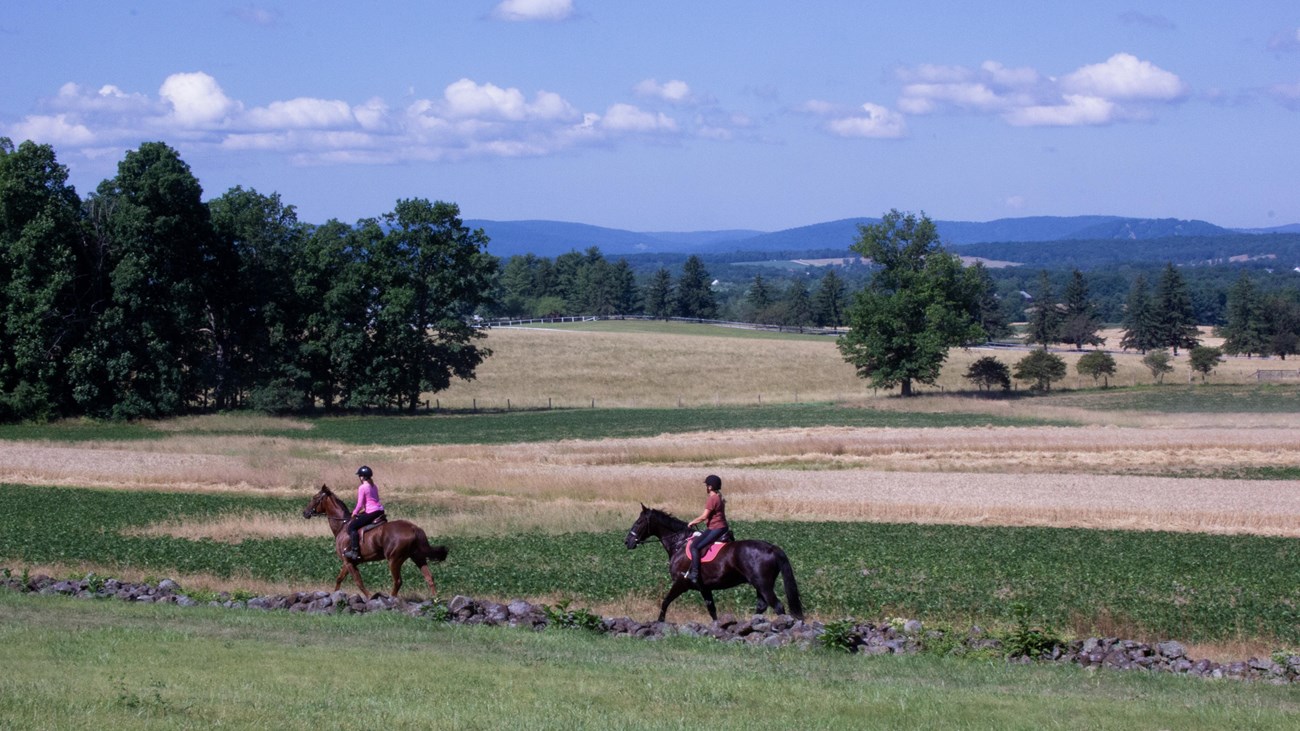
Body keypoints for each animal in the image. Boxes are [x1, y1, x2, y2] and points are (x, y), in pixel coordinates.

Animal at [301, 483, 449, 598]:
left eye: (315, 498)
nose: (305, 513)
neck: (343, 525)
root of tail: (413, 528)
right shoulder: (348, 562)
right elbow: (339, 579)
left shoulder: (348, 562)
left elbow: (358, 582)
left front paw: (370, 597)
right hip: (417, 557)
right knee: (429, 578)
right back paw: (436, 599)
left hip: (394, 560)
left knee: (398, 581)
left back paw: (392, 598)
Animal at [621, 507, 800, 619]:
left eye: (638, 522)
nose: (627, 541)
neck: (679, 543)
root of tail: (772, 548)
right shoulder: (704, 588)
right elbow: (712, 610)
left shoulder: (680, 583)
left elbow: (665, 602)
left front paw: (659, 623)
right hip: (759, 585)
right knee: (762, 606)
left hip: (763, 585)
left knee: (778, 607)